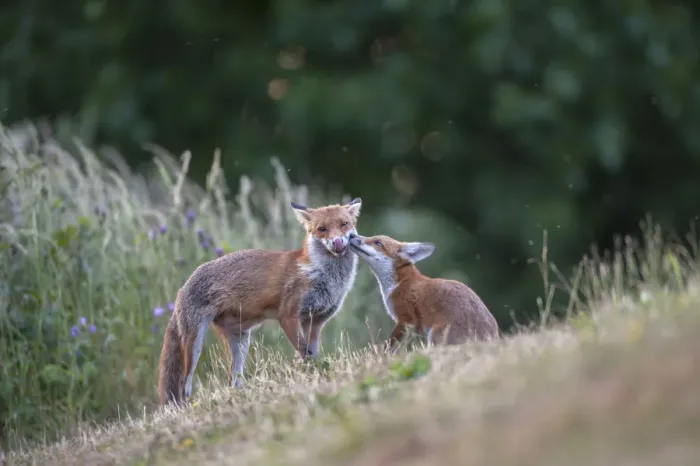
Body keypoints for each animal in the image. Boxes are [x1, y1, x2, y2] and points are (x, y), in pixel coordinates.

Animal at [158, 198, 363, 405]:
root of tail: (182, 288)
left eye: (343, 224)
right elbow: (305, 353)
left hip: (240, 342)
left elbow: (312, 354)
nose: (337, 242)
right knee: (184, 384)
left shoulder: (315, 321)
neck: (320, 274)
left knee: (233, 380)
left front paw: (316, 376)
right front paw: (314, 376)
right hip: (195, 344)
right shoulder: (288, 317)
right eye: (322, 229)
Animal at [348, 233, 499, 349]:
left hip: (435, 335)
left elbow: (389, 346)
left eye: (377, 243)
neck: (399, 284)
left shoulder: (406, 319)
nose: (352, 235)